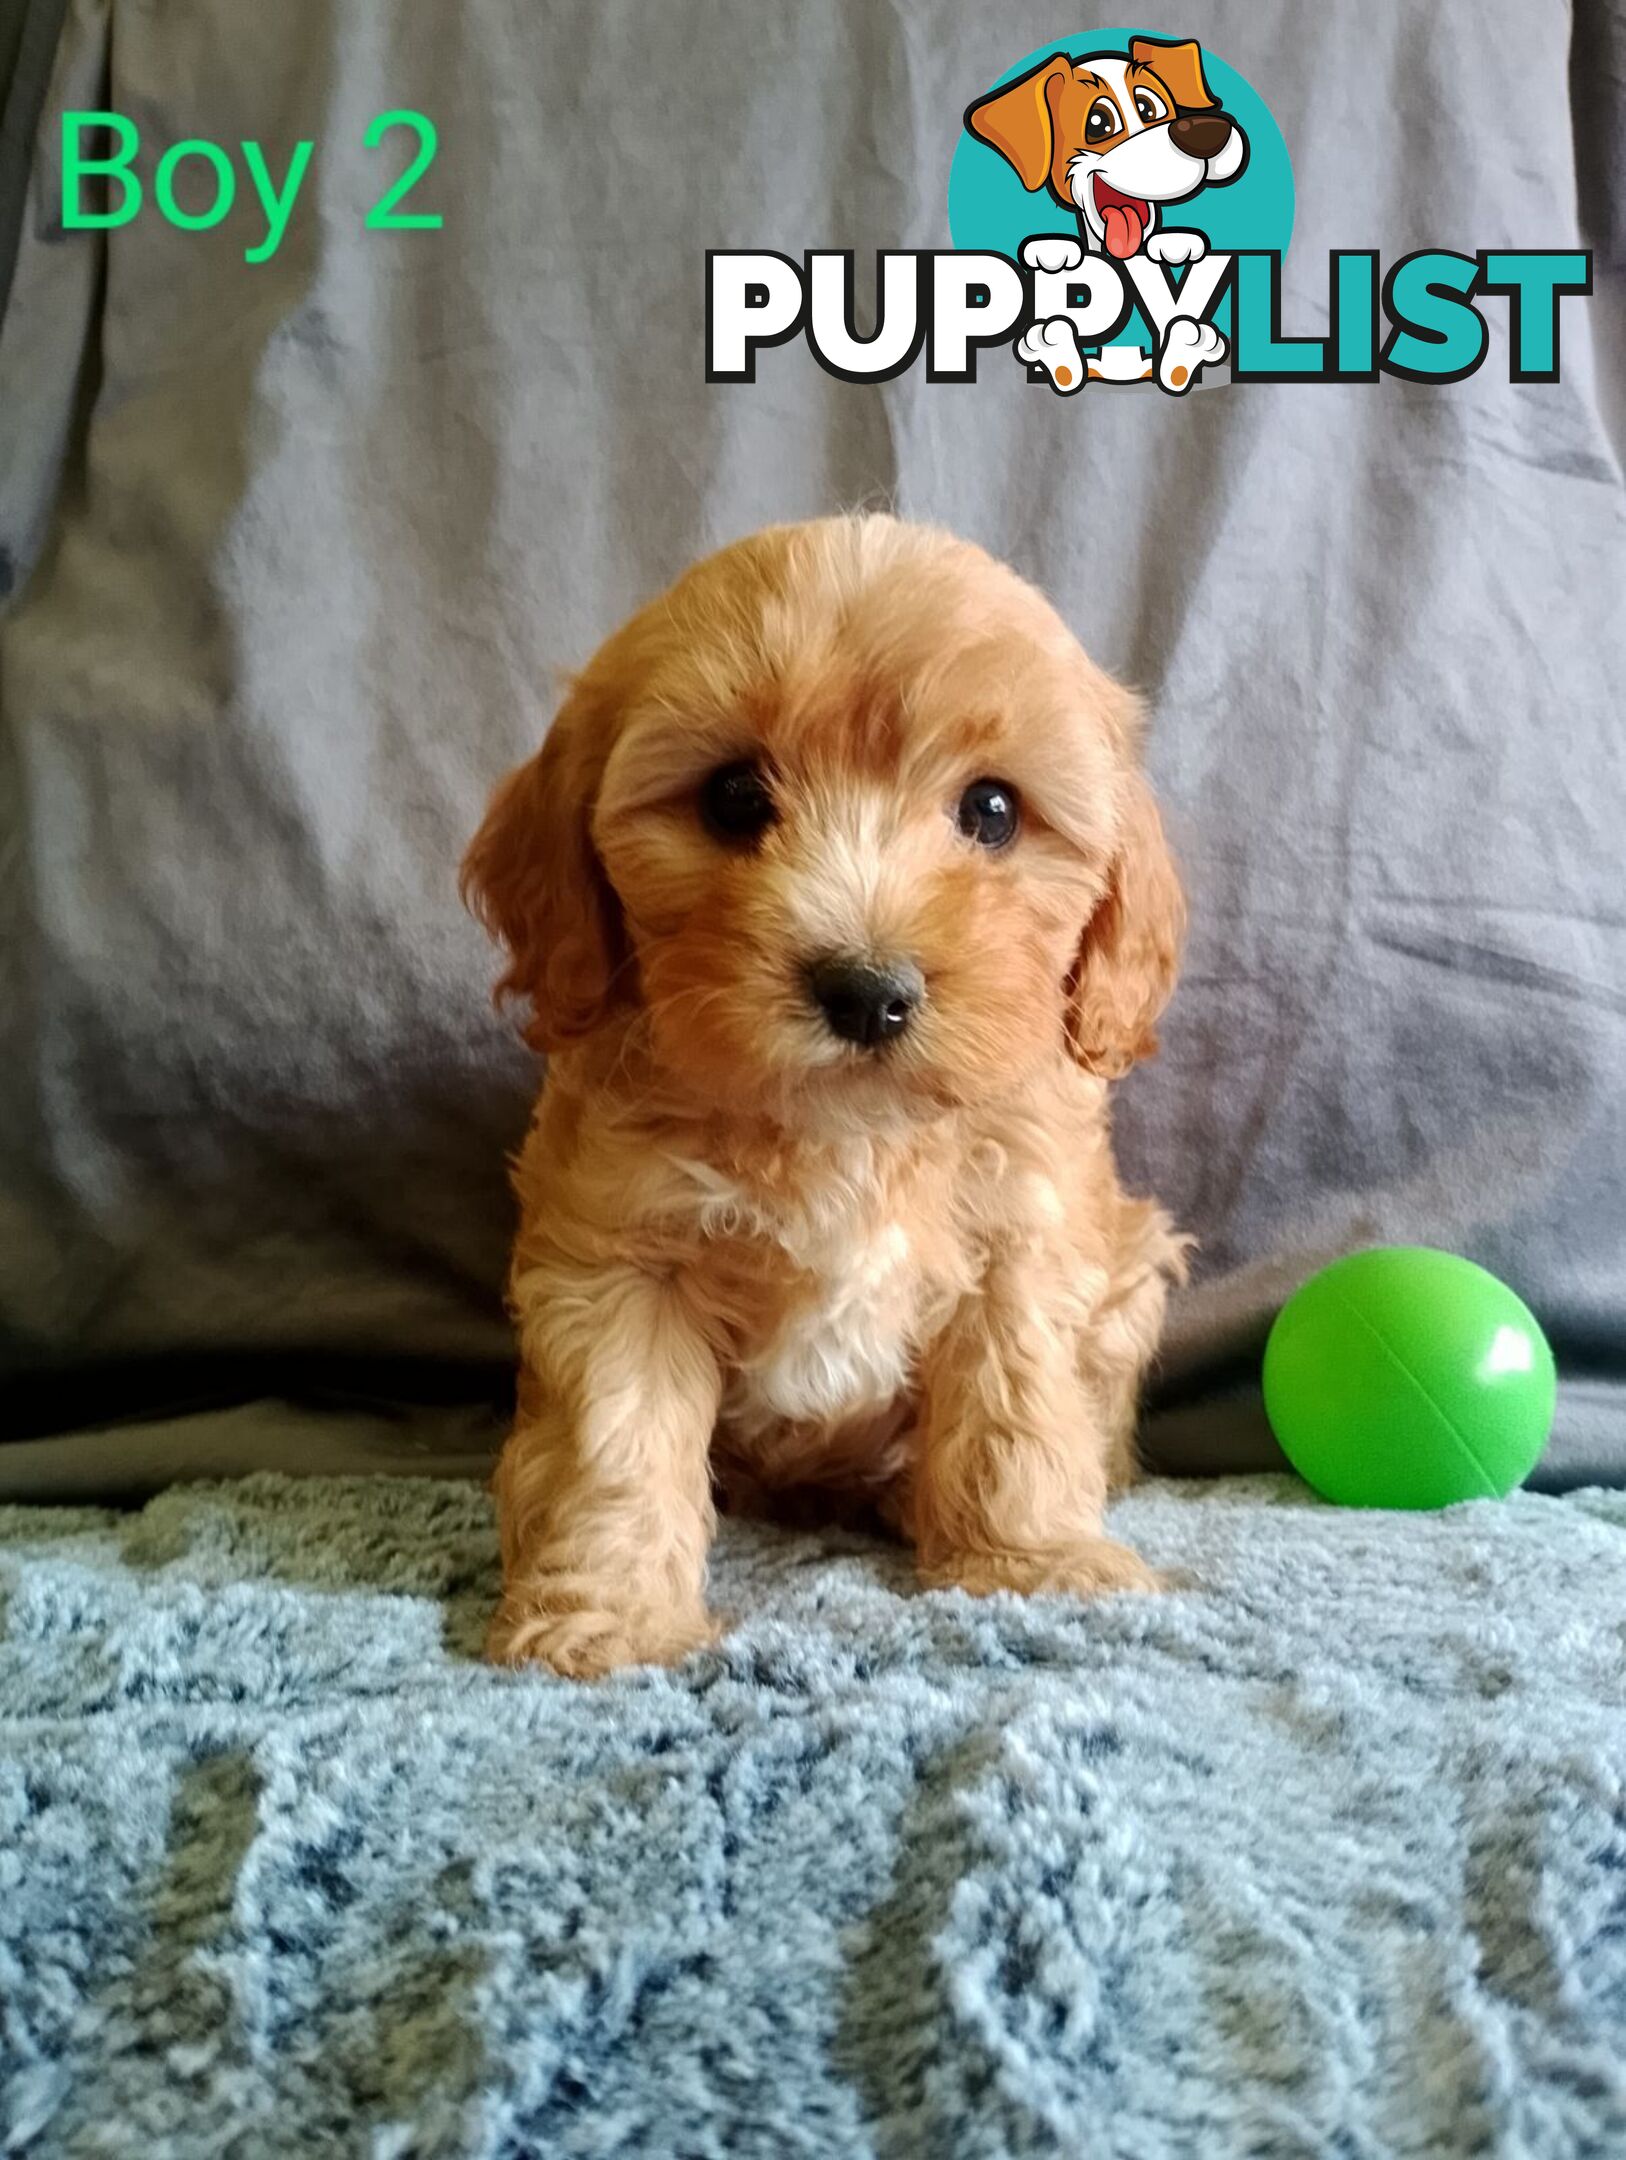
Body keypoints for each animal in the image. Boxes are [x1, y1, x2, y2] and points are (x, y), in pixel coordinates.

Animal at [462, 518, 1183, 1667]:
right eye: (732, 798)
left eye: (992, 809)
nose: (867, 990)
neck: (850, 1136)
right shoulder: (620, 1258)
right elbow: (614, 1443)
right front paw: (607, 1618)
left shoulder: (1022, 1239)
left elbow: (1017, 1410)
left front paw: (1032, 1566)